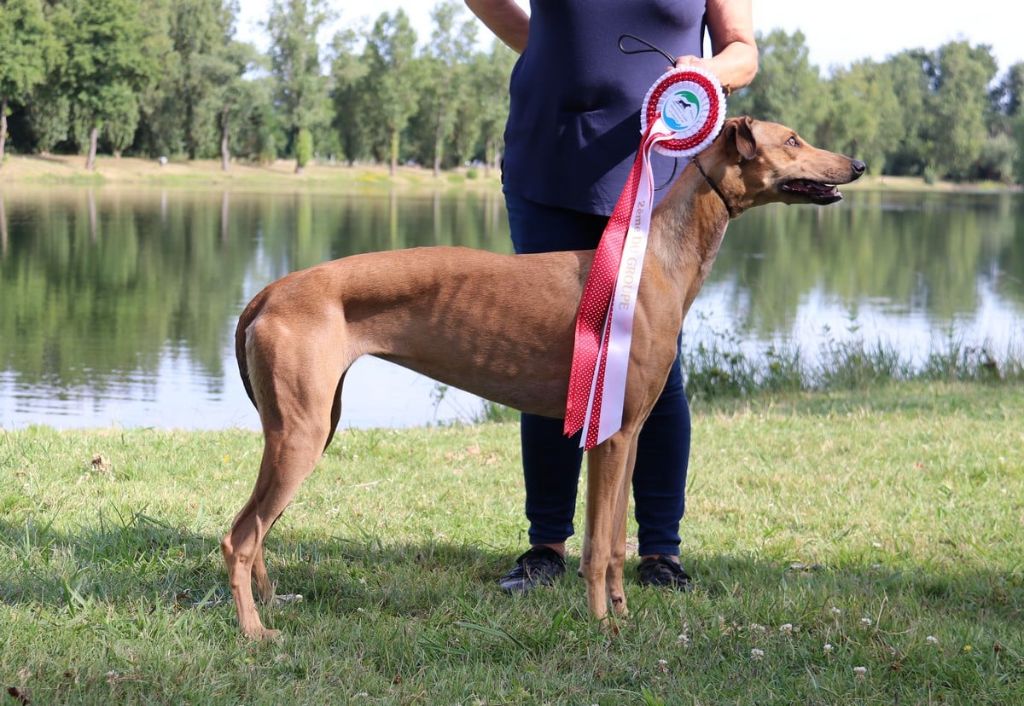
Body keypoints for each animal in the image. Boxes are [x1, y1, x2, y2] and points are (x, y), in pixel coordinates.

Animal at [220, 116, 860, 639]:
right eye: (793, 140)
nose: (856, 165)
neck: (653, 259)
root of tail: (269, 292)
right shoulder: (609, 434)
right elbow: (598, 545)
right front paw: (601, 624)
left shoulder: (629, 431)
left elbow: (617, 540)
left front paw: (623, 614)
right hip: (301, 434)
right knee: (240, 536)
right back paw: (254, 632)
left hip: (309, 428)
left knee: (256, 530)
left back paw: (273, 605)